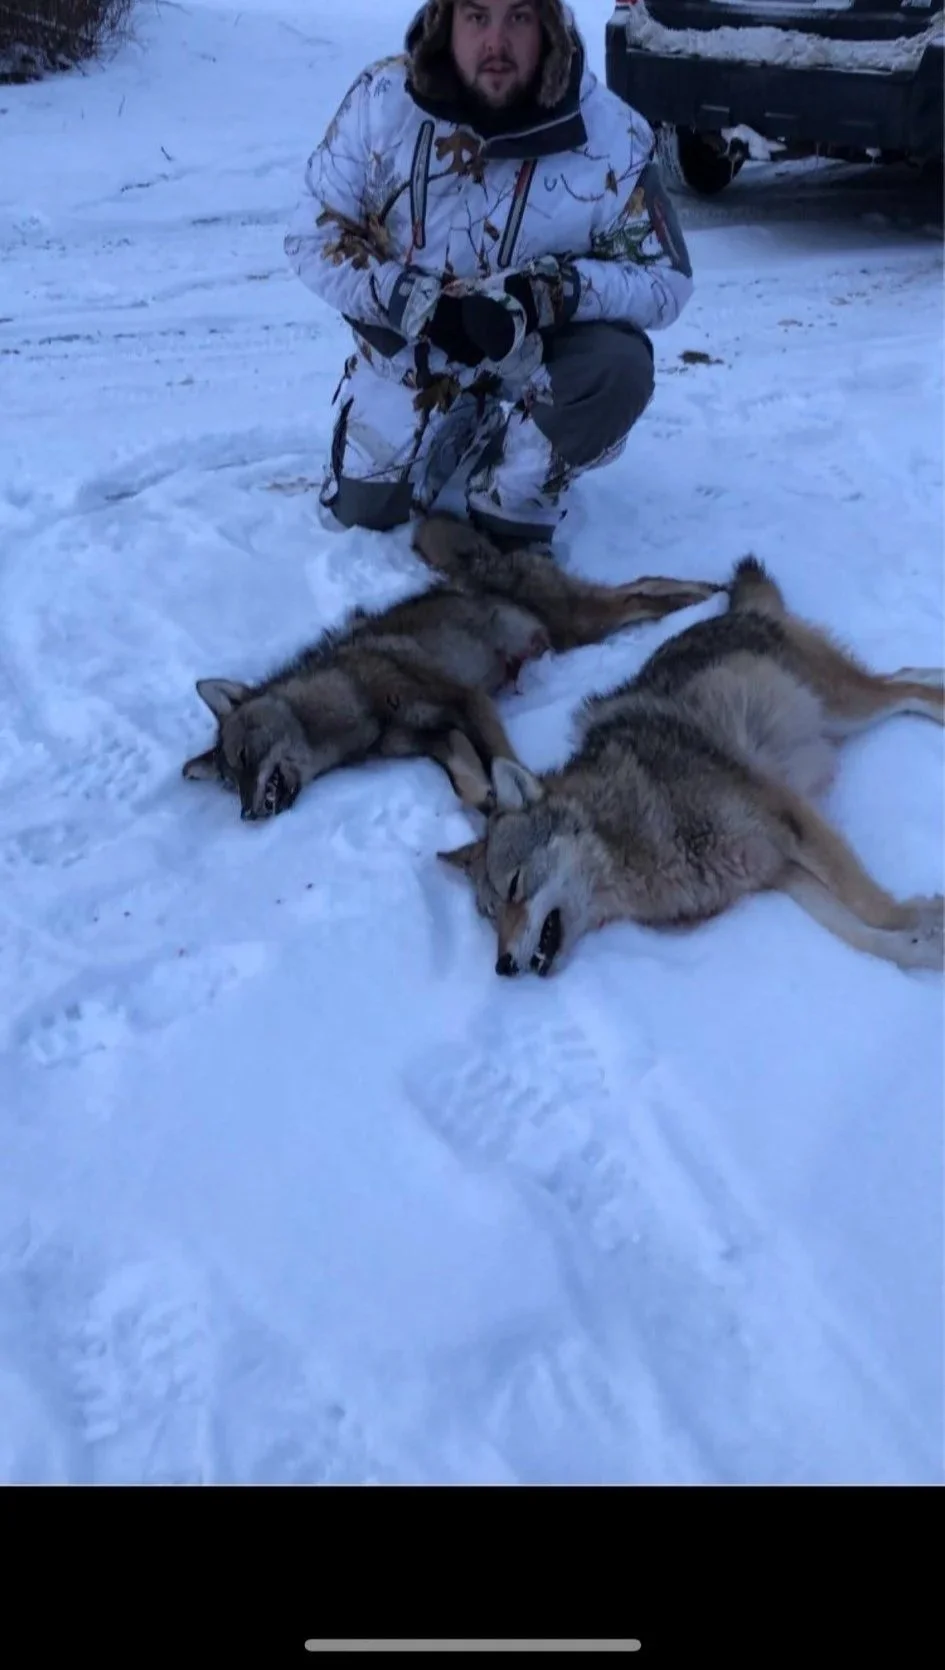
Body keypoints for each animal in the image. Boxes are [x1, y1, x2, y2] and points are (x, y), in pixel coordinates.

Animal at [181, 514, 718, 821]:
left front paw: (524, 795)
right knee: (643, 585)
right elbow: (461, 774)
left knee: (643, 598)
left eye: (244, 758)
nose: (247, 815)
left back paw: (703, 599)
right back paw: (705, 590)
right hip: (579, 624)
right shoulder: (436, 736)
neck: (352, 701)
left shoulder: (467, 700)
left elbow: (504, 759)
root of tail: (485, 559)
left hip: (581, 622)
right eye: (228, 784)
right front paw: (484, 795)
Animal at [438, 555, 945, 976]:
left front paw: (925, 917)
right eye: (491, 916)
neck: (635, 832)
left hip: (843, 707)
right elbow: (860, 934)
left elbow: (871, 905)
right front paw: (924, 946)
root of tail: (732, 614)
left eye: (515, 886)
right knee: (903, 677)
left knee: (908, 692)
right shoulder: (778, 872)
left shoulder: (790, 818)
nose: (502, 966)